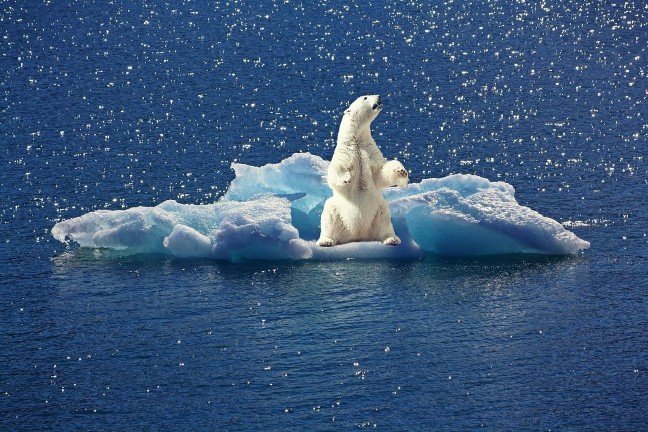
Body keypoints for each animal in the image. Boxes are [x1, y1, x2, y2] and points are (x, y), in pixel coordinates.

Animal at [317, 95, 409, 247]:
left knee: (385, 218)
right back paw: (326, 240)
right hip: (338, 210)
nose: (379, 96)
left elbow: (380, 172)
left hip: (378, 209)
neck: (357, 140)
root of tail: (357, 235)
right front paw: (346, 178)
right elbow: (335, 171)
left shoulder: (369, 151)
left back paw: (391, 239)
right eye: (365, 97)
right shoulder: (344, 153)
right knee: (329, 213)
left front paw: (401, 171)